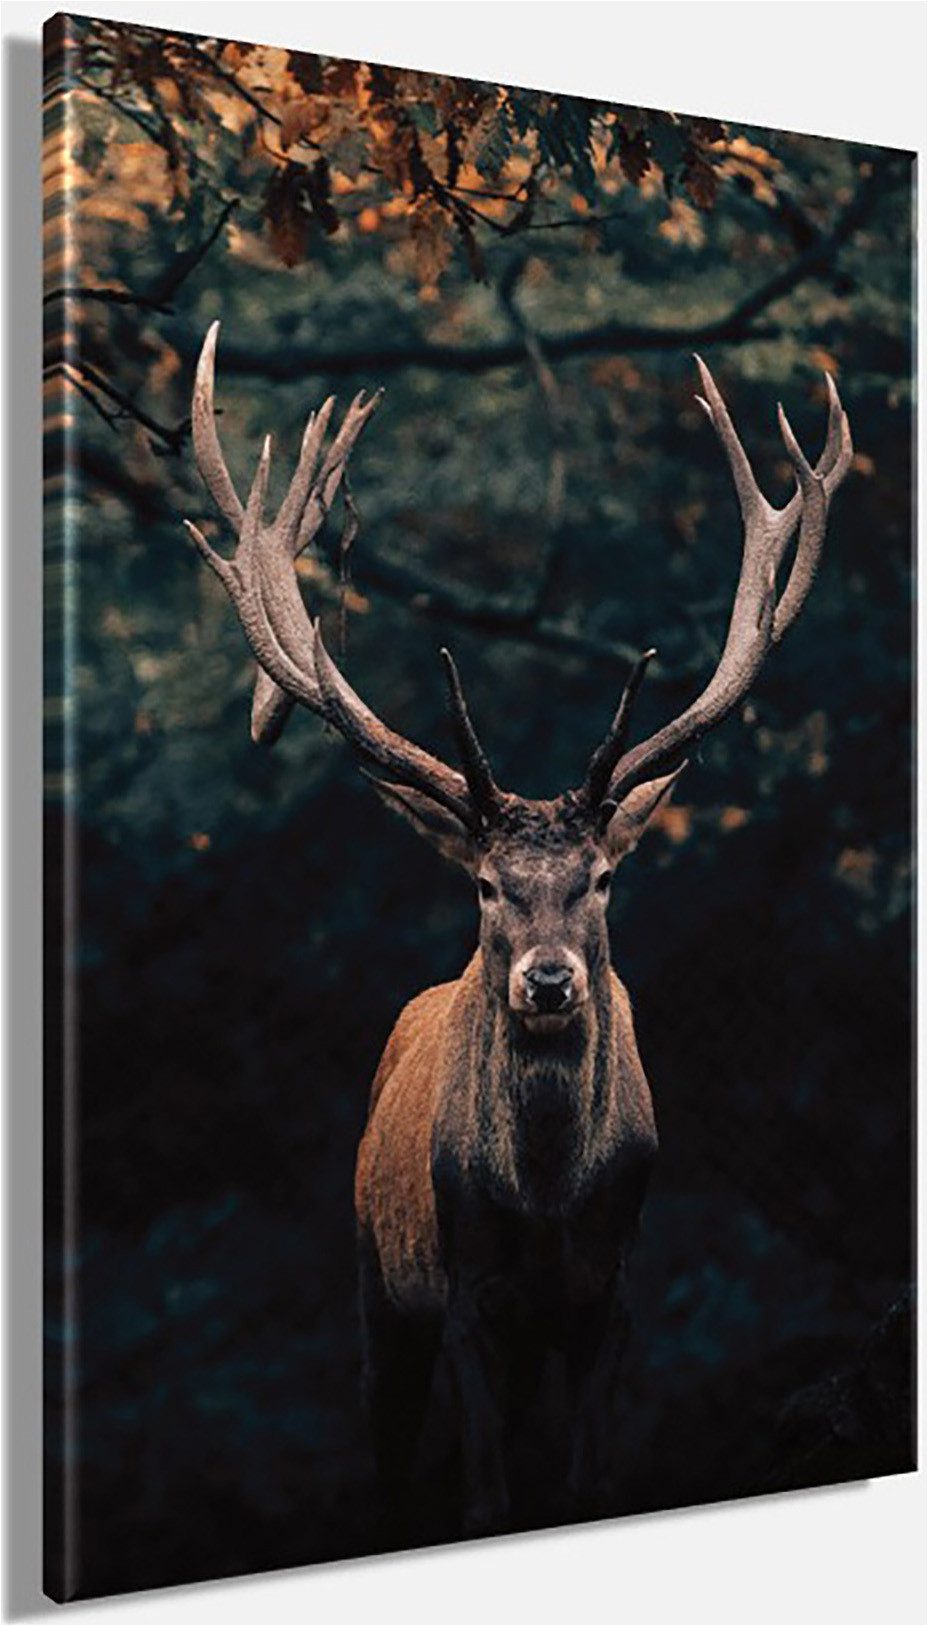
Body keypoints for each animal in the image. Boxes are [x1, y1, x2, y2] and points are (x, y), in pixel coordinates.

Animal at [184, 322, 852, 1537]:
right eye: (489, 886)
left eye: (601, 878)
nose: (546, 982)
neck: (545, 1203)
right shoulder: (462, 1296)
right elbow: (488, 1493)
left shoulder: (611, 1293)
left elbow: (587, 1481)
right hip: (375, 1280)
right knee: (394, 1454)